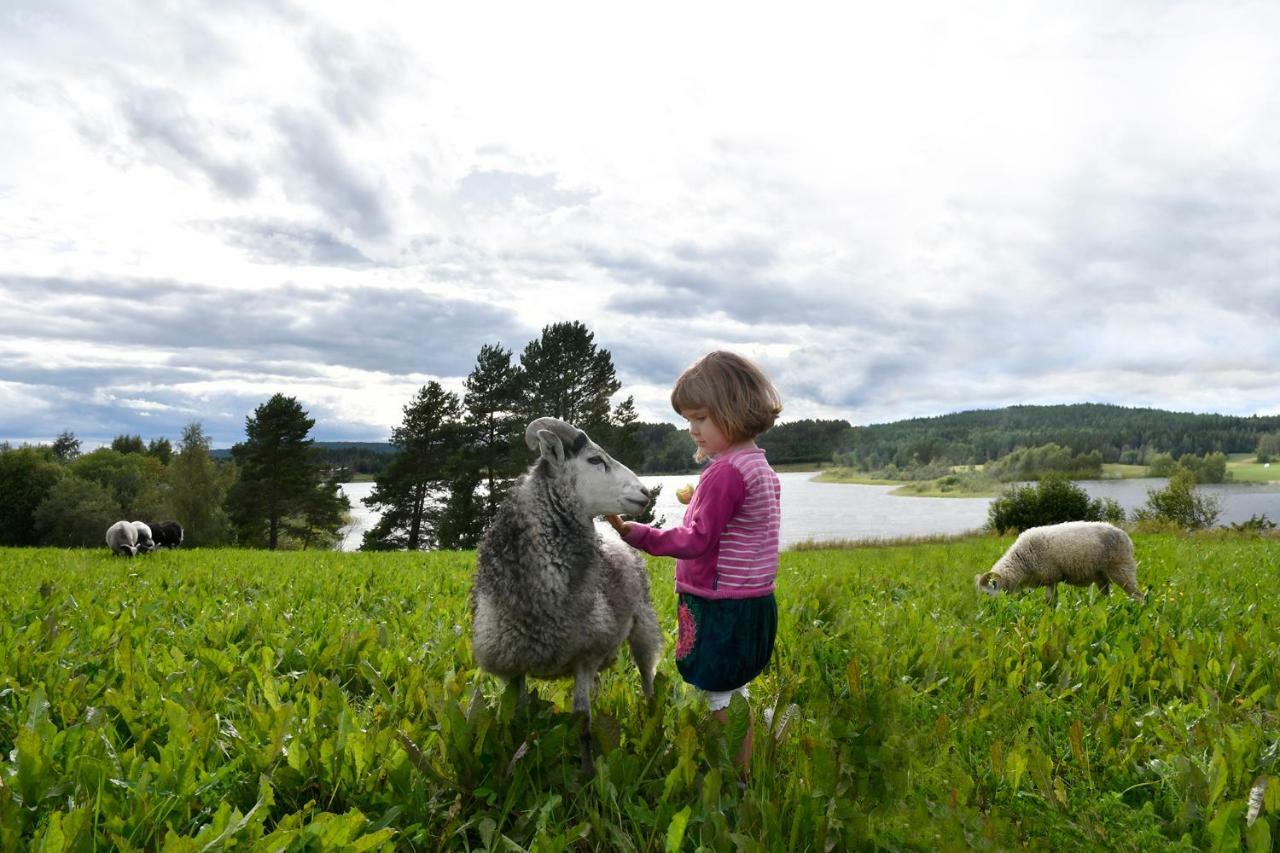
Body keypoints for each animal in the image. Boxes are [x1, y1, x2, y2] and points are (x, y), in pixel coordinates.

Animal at [471, 414, 660, 773]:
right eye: (595, 460)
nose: (645, 493)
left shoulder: (585, 656)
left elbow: (582, 721)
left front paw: (587, 775)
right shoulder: (512, 667)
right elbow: (519, 718)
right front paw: (517, 766)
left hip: (644, 626)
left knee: (647, 676)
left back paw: (654, 719)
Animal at [972, 517, 1146, 604]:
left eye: (987, 594)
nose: (986, 613)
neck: (1021, 562)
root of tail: (1126, 536)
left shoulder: (1051, 576)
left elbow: (1049, 600)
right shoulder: (1050, 579)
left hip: (1121, 569)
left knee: (1138, 595)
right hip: (1102, 576)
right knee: (1106, 596)